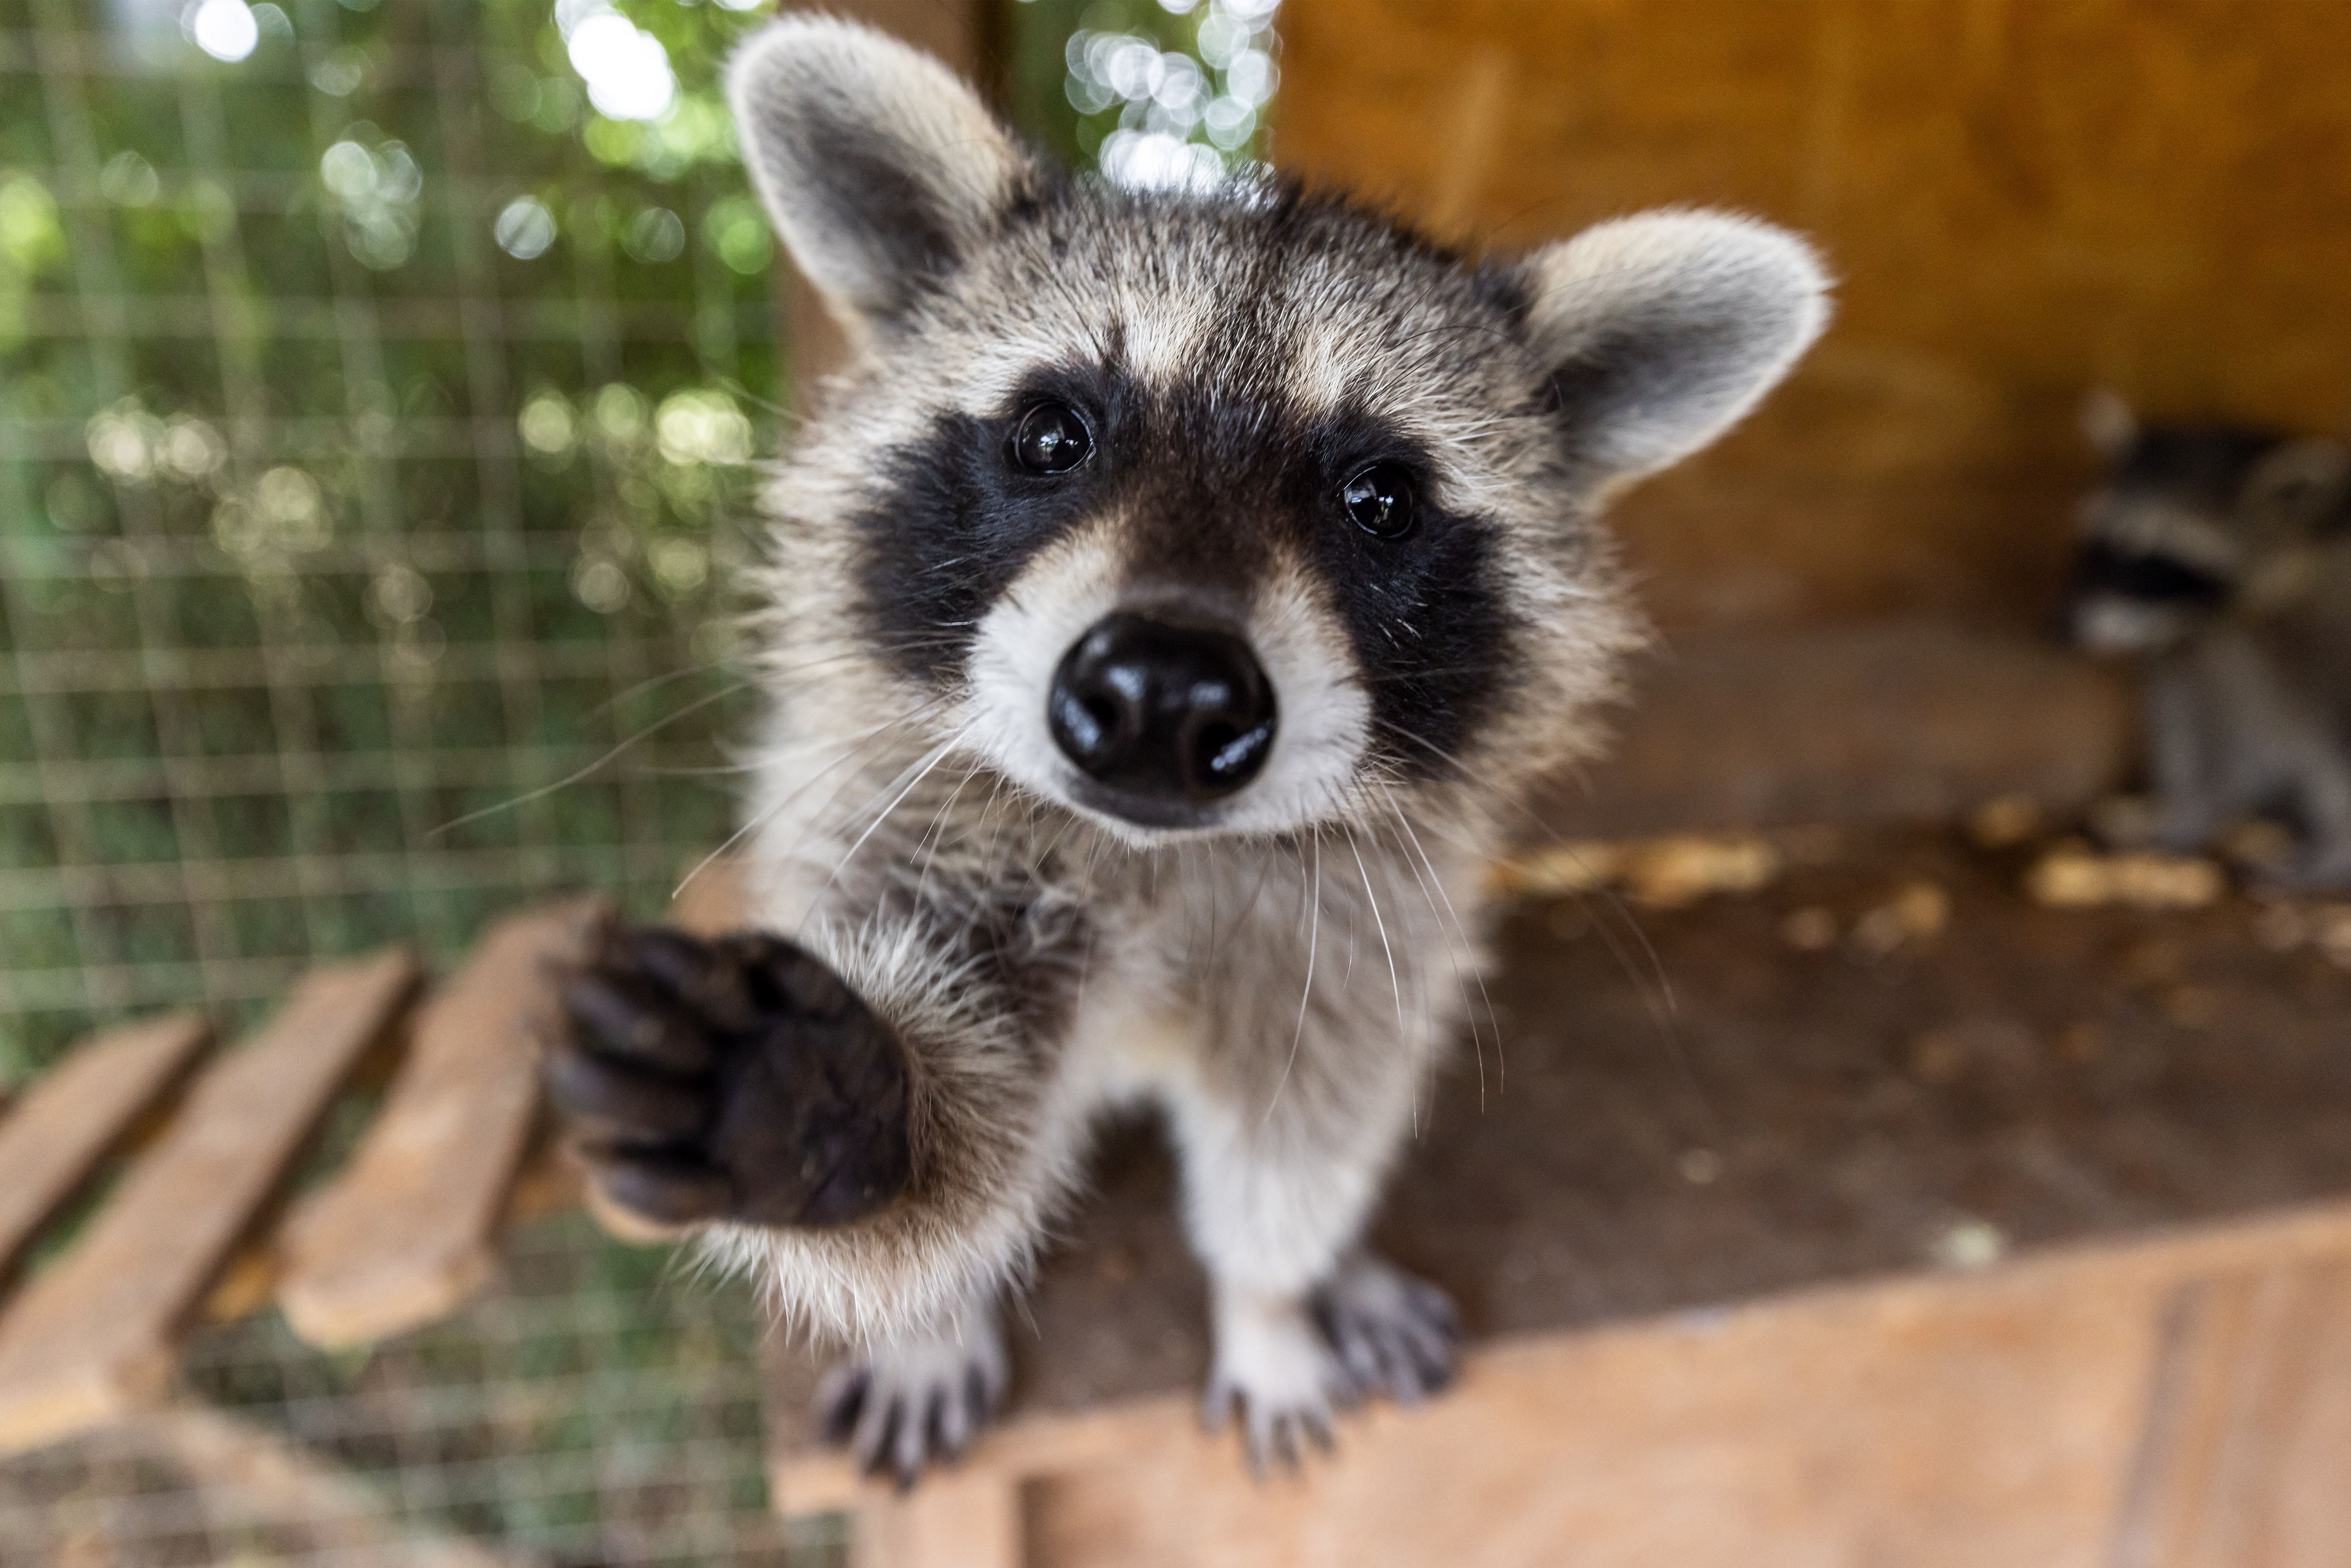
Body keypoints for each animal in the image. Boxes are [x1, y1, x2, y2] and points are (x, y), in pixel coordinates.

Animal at [546, 17, 1828, 1480]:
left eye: (1379, 497)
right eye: (1051, 433)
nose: (1164, 695)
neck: (1150, 852)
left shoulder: (1355, 932)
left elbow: (1303, 1135)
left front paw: (1271, 1304)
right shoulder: (892, 814)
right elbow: (964, 1120)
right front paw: (843, 1127)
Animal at [2062, 391, 2351, 886]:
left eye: (2155, 556)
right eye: (2097, 542)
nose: (2064, 626)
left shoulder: (2328, 635)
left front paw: (2337, 850)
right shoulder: (2200, 649)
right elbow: (2196, 730)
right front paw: (2184, 812)